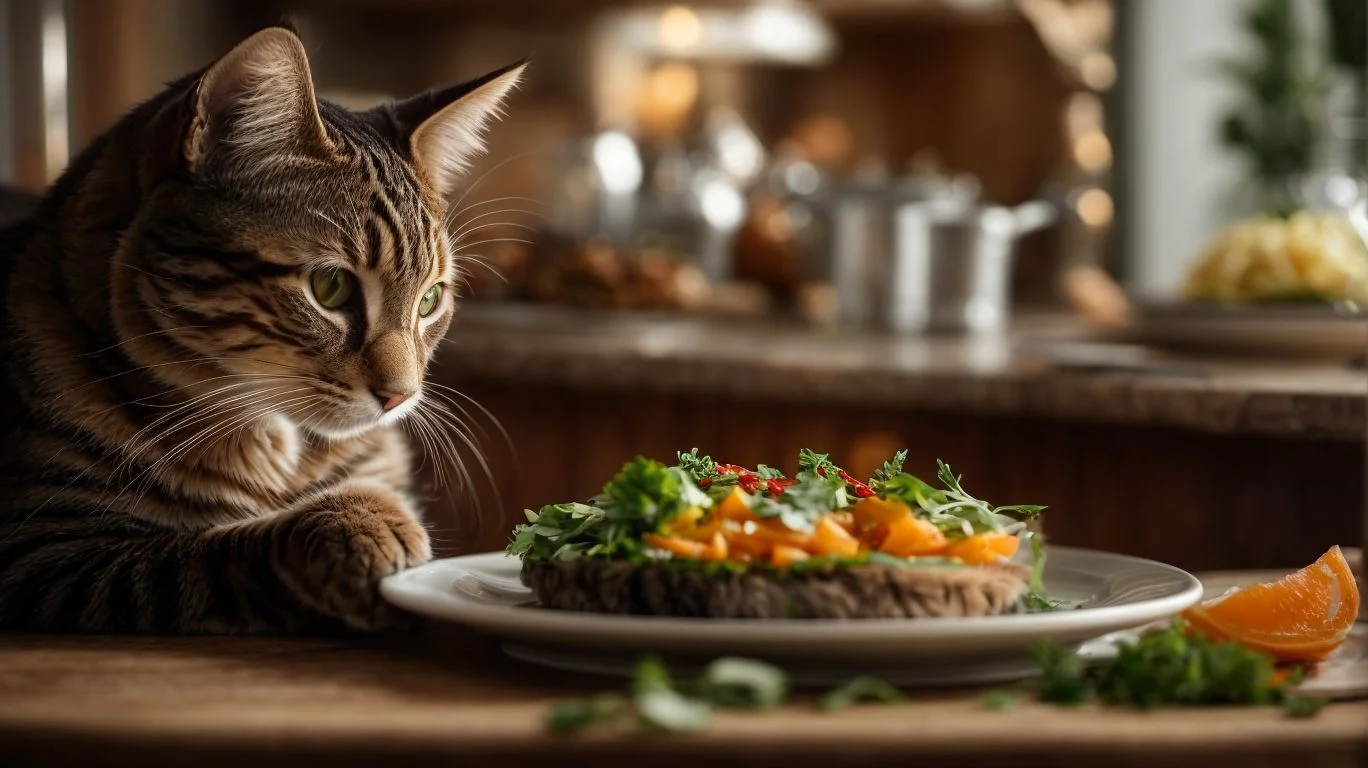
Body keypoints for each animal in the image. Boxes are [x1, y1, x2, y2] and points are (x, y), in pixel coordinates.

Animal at [0, 27, 525, 632]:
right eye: (330, 287)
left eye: (431, 300)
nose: (401, 396)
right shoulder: (45, 556)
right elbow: (211, 552)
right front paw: (355, 521)